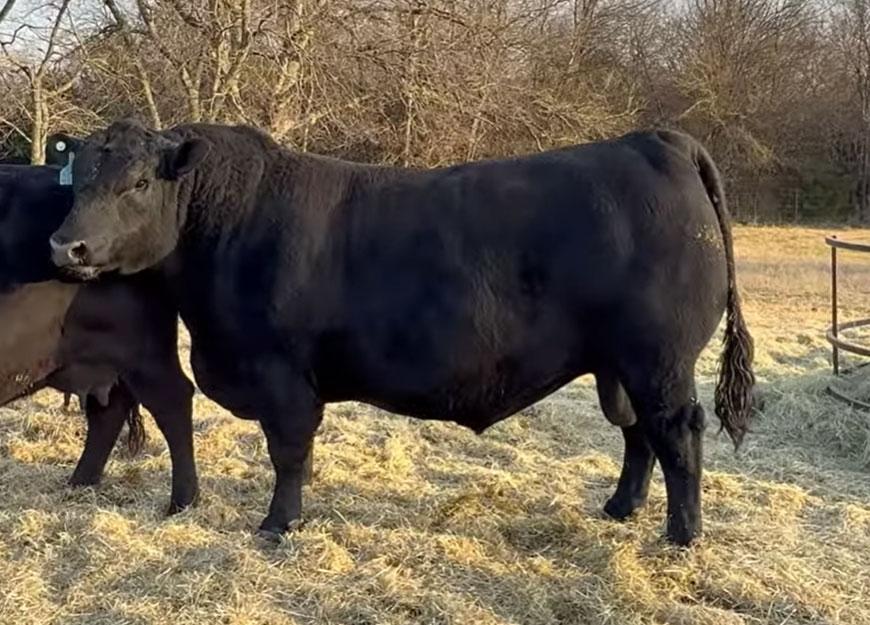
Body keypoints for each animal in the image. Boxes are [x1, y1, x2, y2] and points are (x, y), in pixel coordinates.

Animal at [48, 119, 755, 546]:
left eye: (140, 182)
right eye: (78, 179)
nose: (67, 245)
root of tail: (654, 141)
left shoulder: (283, 375)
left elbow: (288, 452)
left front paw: (278, 525)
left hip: (659, 359)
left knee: (676, 433)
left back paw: (682, 536)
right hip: (620, 363)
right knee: (637, 433)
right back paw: (620, 508)